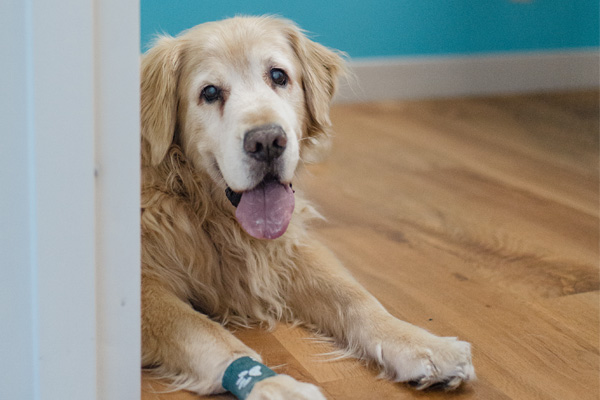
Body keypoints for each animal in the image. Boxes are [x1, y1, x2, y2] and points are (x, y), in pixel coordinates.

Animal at [141, 16, 474, 400]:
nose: (267, 141)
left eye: (278, 76)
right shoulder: (144, 289)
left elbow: (356, 298)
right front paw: (274, 385)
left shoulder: (288, 249)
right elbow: (204, 333)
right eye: (209, 93)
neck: (196, 200)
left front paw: (422, 344)